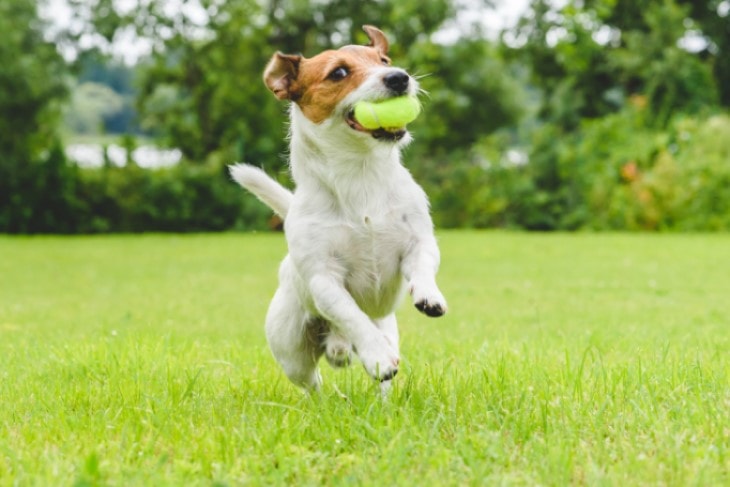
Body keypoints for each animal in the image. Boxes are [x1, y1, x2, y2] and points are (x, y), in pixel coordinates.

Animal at [229, 25, 444, 392]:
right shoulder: (324, 280)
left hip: (387, 327)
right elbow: (351, 314)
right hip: (291, 351)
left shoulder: (419, 241)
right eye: (339, 73)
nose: (399, 77)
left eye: (384, 60)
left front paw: (429, 295)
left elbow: (423, 265)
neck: (361, 175)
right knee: (312, 383)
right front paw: (376, 355)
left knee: (380, 375)